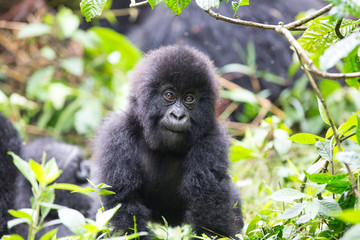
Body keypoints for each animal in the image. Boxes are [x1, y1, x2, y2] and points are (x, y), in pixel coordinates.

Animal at [94, 44, 243, 238]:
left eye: (189, 98)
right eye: (169, 95)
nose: (178, 115)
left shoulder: (212, 140)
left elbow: (209, 206)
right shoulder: (117, 136)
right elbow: (124, 206)